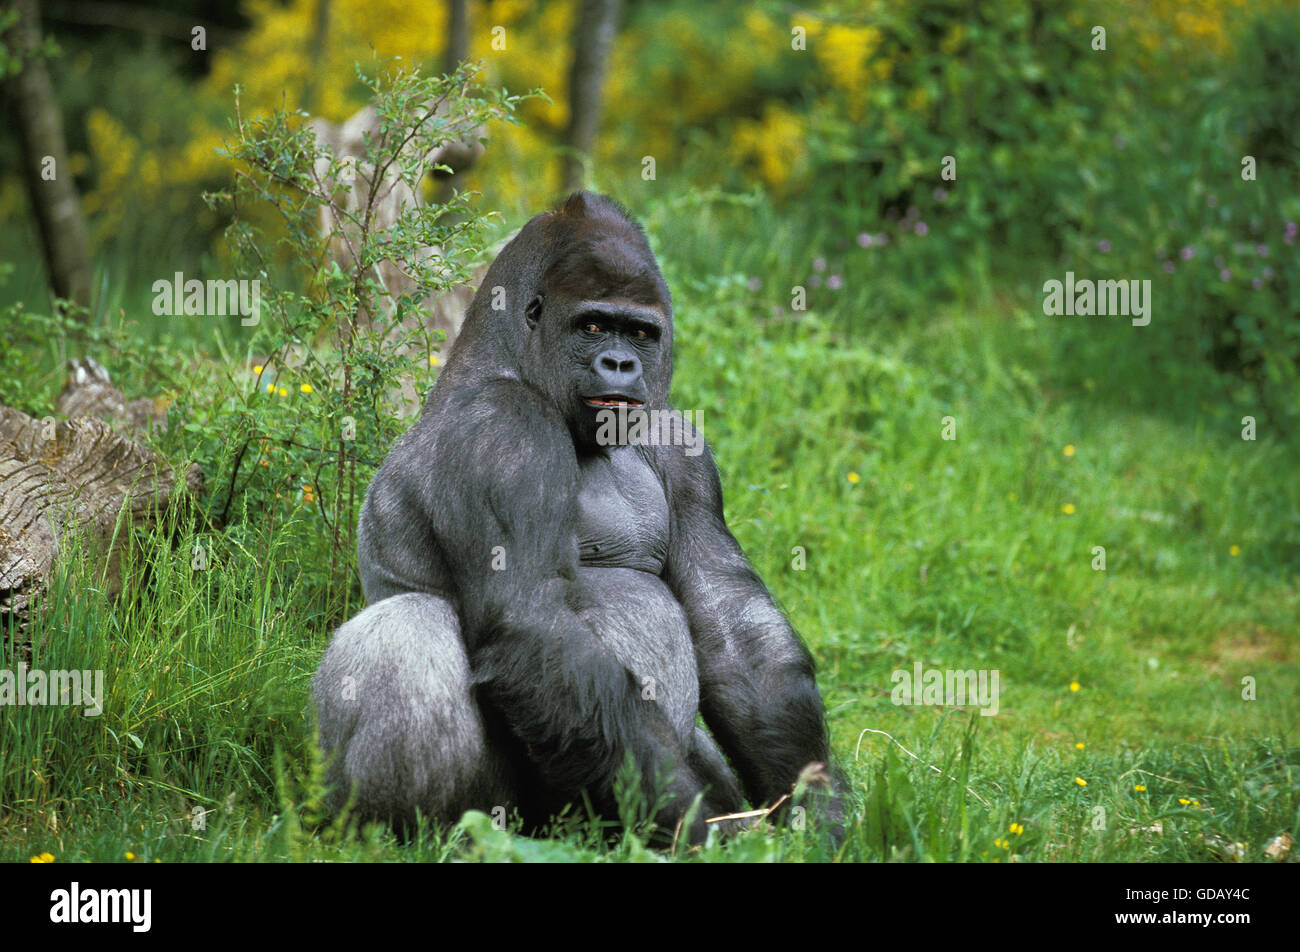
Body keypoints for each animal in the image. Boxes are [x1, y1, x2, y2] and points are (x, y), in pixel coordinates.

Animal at [314, 191, 842, 842]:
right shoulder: (504, 429)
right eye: (592, 325)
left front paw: (818, 811)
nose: (619, 364)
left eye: (639, 332)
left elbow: (731, 625)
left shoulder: (679, 441)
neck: (506, 361)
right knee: (410, 627)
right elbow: (534, 622)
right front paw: (698, 830)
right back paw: (416, 833)